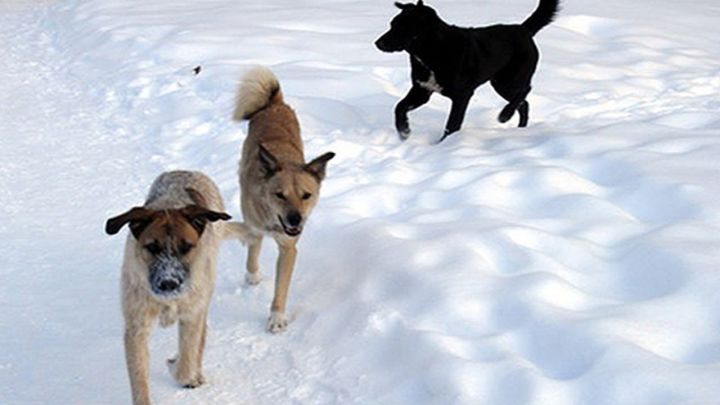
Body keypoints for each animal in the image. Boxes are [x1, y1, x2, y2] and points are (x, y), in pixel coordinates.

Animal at [104, 170, 250, 404]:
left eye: (187, 247)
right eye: (151, 247)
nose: (168, 283)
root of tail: (187, 171)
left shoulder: (192, 315)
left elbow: (186, 364)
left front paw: (178, 368)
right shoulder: (137, 326)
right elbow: (139, 377)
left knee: (200, 338)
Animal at [235, 66, 336, 332]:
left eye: (306, 195)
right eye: (279, 195)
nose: (295, 221)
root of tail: (275, 104)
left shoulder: (289, 249)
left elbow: (281, 287)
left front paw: (277, 317)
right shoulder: (254, 225)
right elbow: (253, 250)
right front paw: (252, 275)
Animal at [376, 0, 564, 142]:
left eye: (402, 27)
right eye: (391, 24)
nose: (377, 43)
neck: (433, 51)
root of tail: (523, 29)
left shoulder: (462, 95)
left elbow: (452, 124)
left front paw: (442, 146)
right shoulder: (422, 90)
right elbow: (399, 107)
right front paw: (404, 131)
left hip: (509, 80)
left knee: (525, 91)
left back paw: (505, 114)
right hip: (501, 84)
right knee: (524, 103)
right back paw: (520, 128)